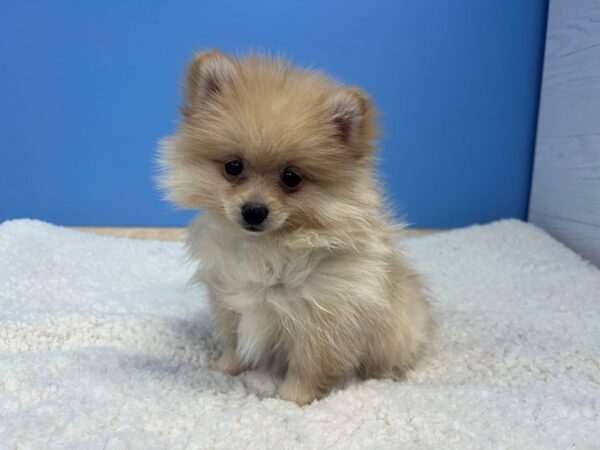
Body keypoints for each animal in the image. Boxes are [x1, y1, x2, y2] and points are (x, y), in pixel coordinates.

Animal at [158, 51, 432, 406]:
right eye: (233, 167)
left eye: (291, 178)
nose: (254, 210)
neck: (268, 248)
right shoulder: (229, 301)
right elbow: (233, 345)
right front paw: (221, 370)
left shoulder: (321, 322)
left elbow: (306, 368)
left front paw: (289, 400)